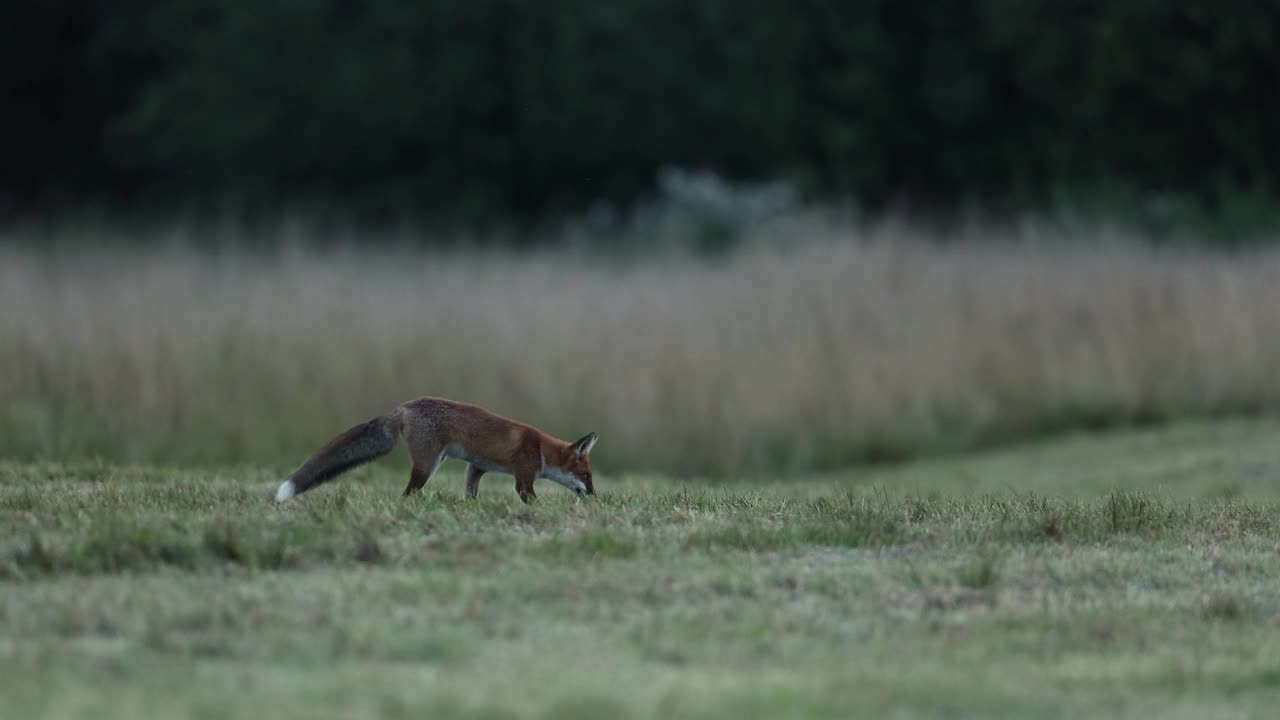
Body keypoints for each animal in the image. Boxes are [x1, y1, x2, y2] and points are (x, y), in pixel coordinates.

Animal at [275, 394, 593, 502]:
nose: (595, 497)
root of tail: (404, 406)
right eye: (587, 476)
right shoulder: (523, 479)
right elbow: (531, 498)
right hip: (427, 466)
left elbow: (470, 491)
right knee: (406, 495)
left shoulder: (476, 467)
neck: (540, 448)